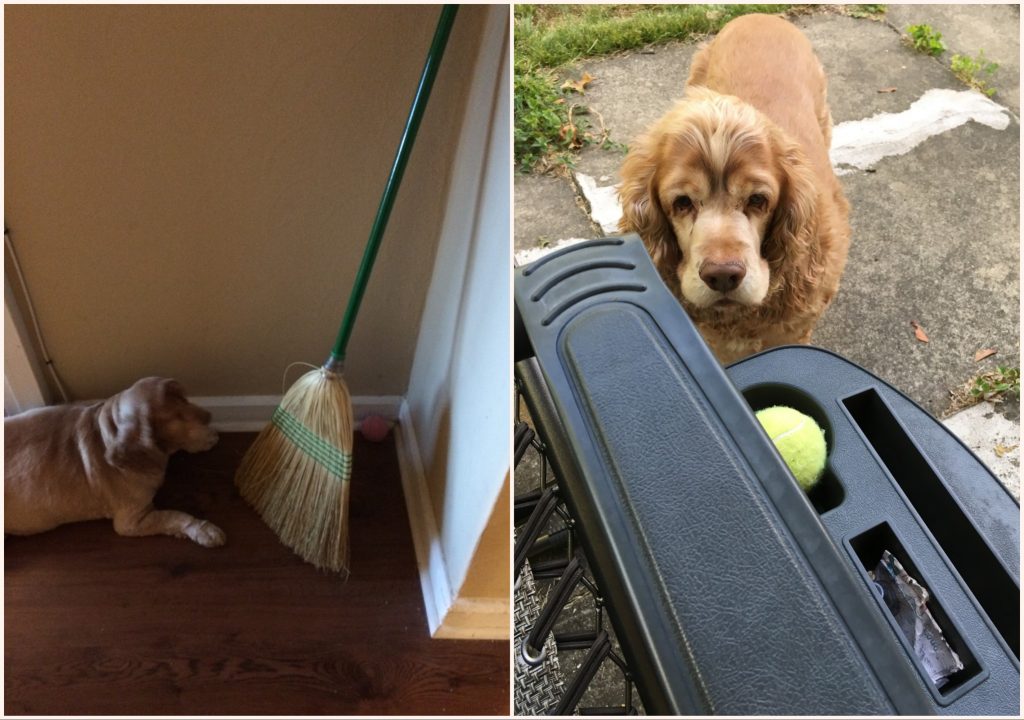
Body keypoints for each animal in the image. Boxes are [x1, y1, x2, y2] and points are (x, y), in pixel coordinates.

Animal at [7, 376, 224, 544]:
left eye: (185, 398)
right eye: (176, 416)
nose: (209, 415)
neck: (107, 431)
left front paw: (205, 438)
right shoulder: (132, 521)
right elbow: (173, 516)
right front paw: (204, 529)